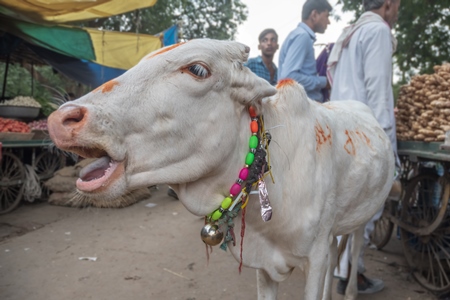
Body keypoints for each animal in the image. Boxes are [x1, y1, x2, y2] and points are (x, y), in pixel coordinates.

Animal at [46, 39, 394, 300]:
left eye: (198, 69)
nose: (61, 120)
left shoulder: (315, 258)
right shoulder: (264, 265)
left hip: (365, 217)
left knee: (355, 246)